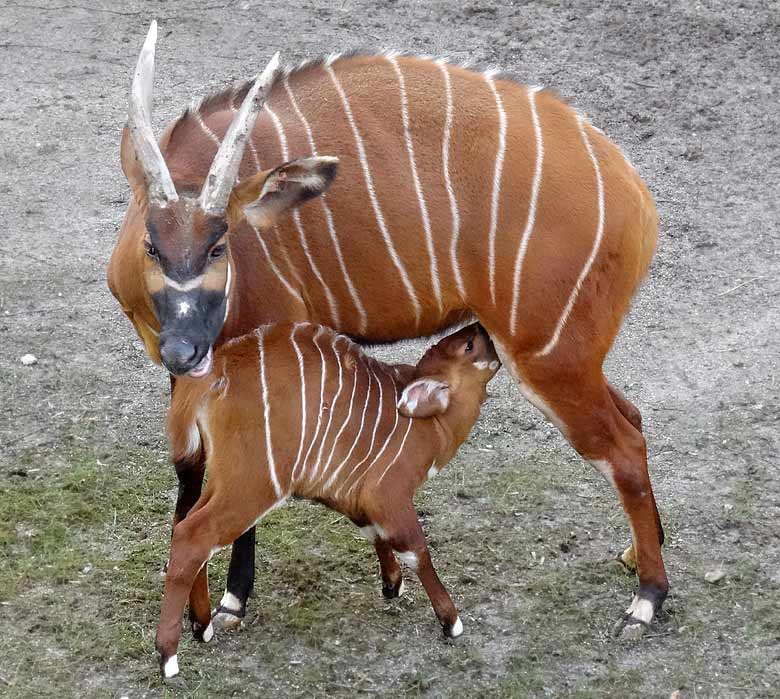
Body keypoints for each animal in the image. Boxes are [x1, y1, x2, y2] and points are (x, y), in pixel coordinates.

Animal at [109, 20, 668, 640]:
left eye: (218, 245)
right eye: (153, 245)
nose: (183, 349)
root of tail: (635, 195)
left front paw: (231, 602)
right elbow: (191, 474)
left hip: (549, 358)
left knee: (623, 447)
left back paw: (647, 597)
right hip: (572, 357)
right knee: (633, 419)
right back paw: (634, 557)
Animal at [158, 322, 500, 680]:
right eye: (469, 346)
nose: (482, 327)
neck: (432, 424)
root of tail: (217, 372)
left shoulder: (351, 496)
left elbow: (374, 533)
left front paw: (392, 585)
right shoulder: (389, 494)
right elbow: (417, 551)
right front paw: (451, 621)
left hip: (224, 481)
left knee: (185, 524)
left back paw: (202, 627)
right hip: (252, 487)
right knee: (193, 536)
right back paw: (168, 656)